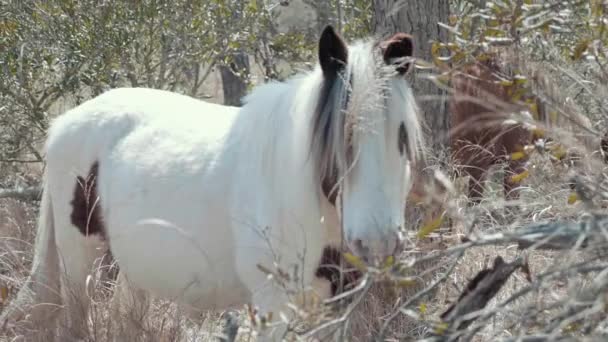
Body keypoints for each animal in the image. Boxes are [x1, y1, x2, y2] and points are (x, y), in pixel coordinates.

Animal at [2, 26, 422, 340]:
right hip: (79, 263)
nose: (378, 241)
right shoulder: (274, 305)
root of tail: (64, 124)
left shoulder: (335, 303)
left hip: (135, 267)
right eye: (341, 137)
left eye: (402, 135)